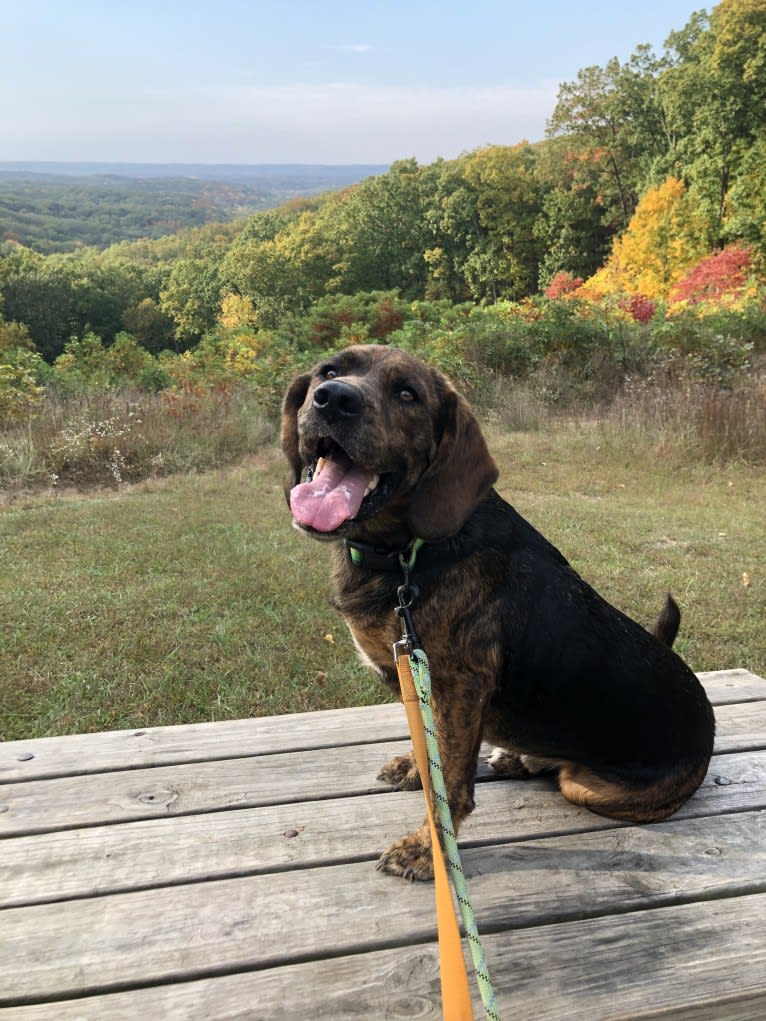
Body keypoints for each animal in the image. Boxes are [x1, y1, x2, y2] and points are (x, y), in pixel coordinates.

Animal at [281, 347, 719, 882]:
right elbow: (430, 749)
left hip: (589, 784)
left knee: (567, 774)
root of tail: (707, 724)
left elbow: (450, 782)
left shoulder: (459, 686)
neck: (407, 554)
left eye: (407, 394)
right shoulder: (414, 677)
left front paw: (425, 851)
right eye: (329, 371)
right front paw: (415, 769)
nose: (334, 399)